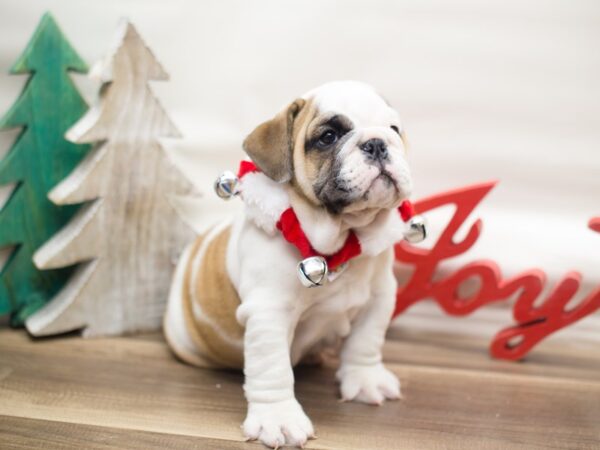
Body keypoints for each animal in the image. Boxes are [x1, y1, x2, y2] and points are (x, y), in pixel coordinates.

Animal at [165, 80, 418, 446]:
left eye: (394, 129)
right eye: (328, 136)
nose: (376, 142)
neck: (342, 237)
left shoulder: (379, 297)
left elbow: (365, 342)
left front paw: (366, 380)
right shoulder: (269, 313)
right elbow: (272, 369)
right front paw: (278, 419)